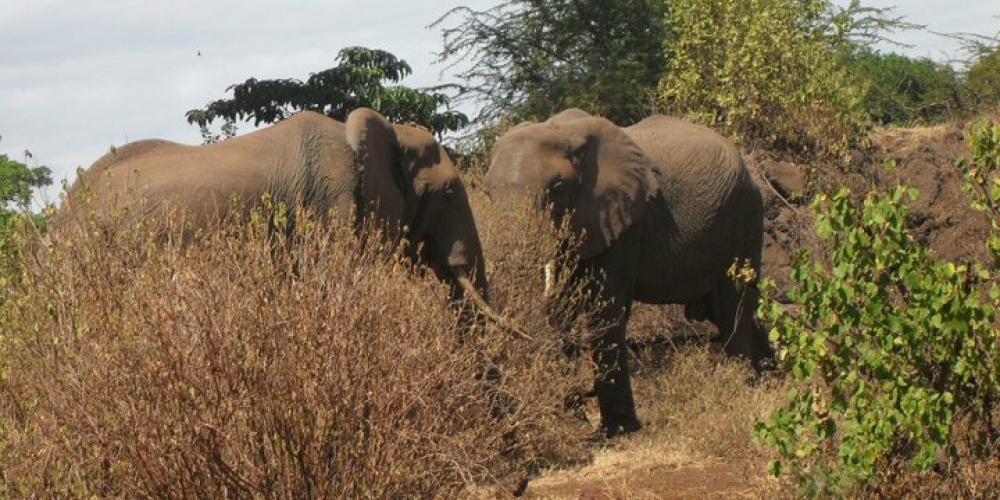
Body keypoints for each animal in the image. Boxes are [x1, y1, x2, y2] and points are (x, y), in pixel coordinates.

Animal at [484, 107, 772, 436]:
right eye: (487, 192)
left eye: (557, 188)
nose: (580, 396)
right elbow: (564, 308)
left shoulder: (623, 219)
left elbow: (604, 308)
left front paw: (620, 431)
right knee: (729, 309)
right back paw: (772, 377)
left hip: (742, 217)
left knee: (732, 305)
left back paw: (745, 388)